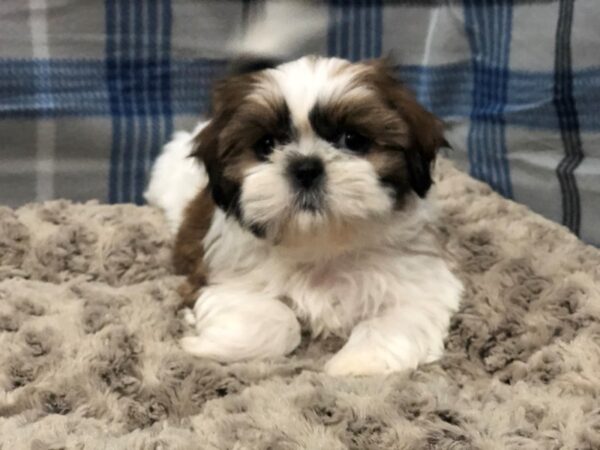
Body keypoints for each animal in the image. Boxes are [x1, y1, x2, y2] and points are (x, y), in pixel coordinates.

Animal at [146, 56, 464, 376]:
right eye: (266, 145)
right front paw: (204, 343)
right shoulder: (220, 279)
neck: (321, 244)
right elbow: (280, 319)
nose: (306, 168)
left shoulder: (422, 282)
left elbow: (401, 319)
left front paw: (356, 363)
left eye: (352, 139)